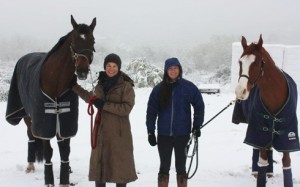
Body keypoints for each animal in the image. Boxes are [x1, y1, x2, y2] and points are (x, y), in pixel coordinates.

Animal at [5, 15, 96, 186]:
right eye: (74, 40)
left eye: (92, 40)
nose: (82, 71)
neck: (55, 81)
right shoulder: (44, 121)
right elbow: (48, 151)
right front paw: (49, 180)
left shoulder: (65, 119)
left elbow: (65, 150)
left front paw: (65, 178)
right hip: (28, 117)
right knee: (30, 136)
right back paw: (30, 165)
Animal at [236, 34, 298, 186]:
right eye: (240, 62)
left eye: (257, 63)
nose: (240, 91)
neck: (274, 96)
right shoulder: (259, 131)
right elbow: (262, 161)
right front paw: (261, 174)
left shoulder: (288, 136)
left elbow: (286, 163)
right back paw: (257, 171)